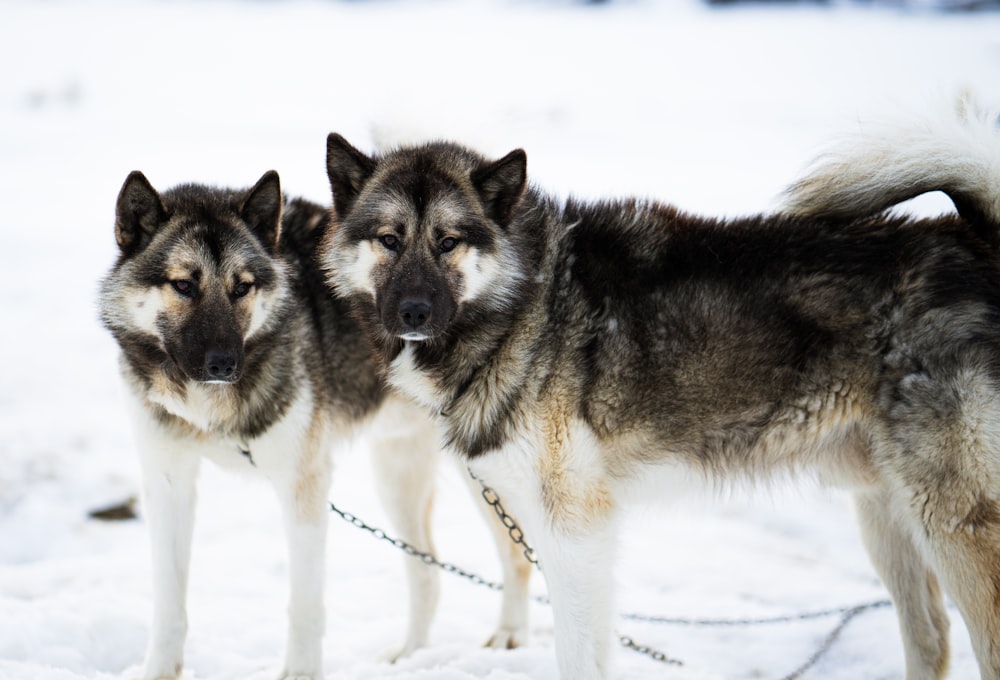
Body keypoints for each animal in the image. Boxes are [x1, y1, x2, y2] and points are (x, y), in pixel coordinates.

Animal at [102, 173, 536, 680]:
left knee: (517, 556)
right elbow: (170, 605)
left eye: (242, 287)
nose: (224, 364)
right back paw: (408, 655)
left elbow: (304, 603)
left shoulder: (302, 484)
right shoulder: (168, 483)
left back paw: (509, 637)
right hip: (396, 477)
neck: (210, 410)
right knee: (427, 571)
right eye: (184, 285)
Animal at [320, 102, 1000, 680]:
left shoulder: (574, 531)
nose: (411, 311)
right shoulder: (566, 534)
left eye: (448, 241)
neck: (526, 303)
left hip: (952, 524)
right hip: (886, 514)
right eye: (389, 239)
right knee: (932, 638)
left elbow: (576, 656)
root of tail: (975, 241)